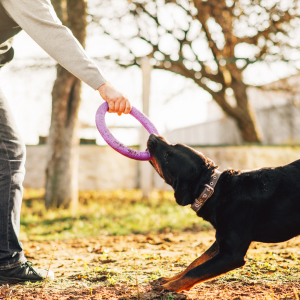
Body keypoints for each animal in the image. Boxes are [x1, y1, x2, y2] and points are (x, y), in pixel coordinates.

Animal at [146, 134, 300, 292]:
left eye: (167, 156)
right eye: (173, 144)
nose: (153, 136)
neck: (214, 191)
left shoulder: (231, 254)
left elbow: (197, 270)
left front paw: (169, 287)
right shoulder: (220, 241)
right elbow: (195, 263)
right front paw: (171, 279)